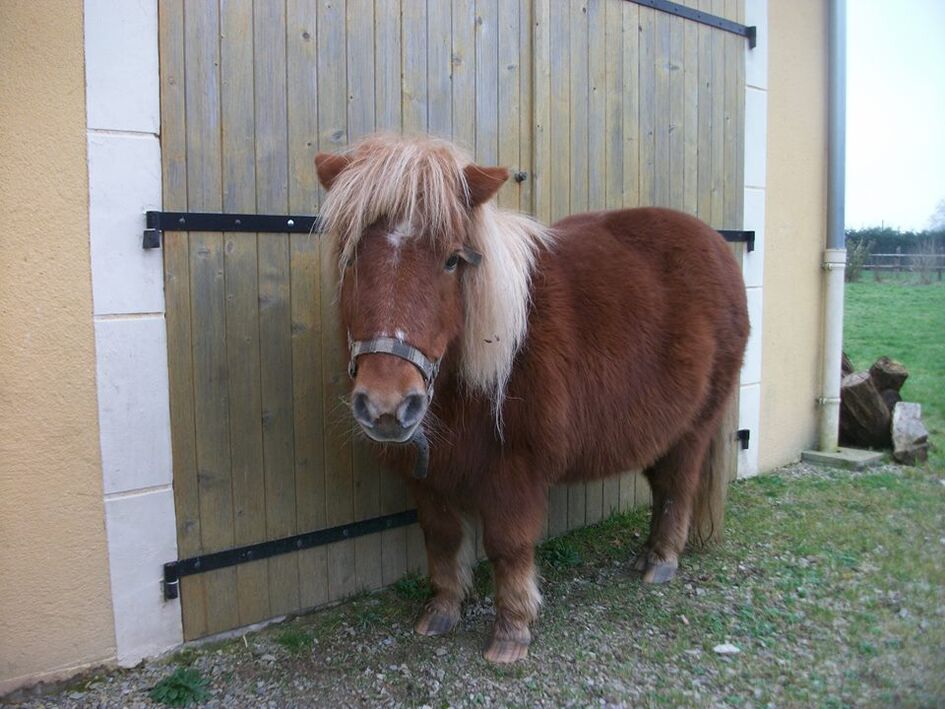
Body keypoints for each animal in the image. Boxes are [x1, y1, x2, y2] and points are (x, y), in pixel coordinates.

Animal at [314, 133, 748, 664]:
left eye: (452, 260)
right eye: (351, 257)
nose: (387, 406)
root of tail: (716, 245)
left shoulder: (515, 472)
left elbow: (508, 546)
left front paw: (512, 631)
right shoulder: (428, 476)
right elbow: (441, 537)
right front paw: (441, 611)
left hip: (695, 426)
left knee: (676, 488)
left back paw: (660, 561)